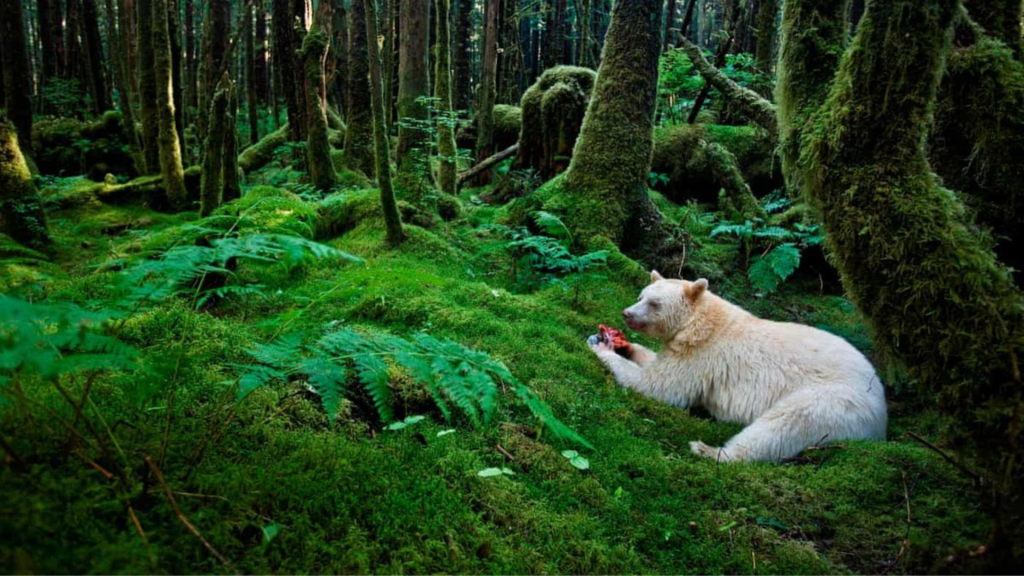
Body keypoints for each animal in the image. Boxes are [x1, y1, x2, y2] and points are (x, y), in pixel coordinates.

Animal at [588, 270, 887, 462]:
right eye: (641, 295)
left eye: (654, 303)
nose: (626, 313)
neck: (699, 322)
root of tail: (882, 413)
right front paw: (621, 344)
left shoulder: (703, 355)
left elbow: (661, 386)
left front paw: (602, 347)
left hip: (835, 401)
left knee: (785, 425)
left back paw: (710, 451)